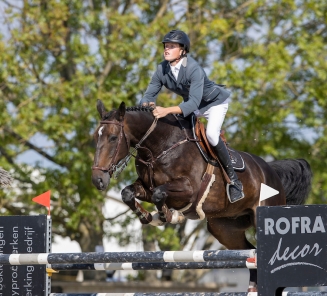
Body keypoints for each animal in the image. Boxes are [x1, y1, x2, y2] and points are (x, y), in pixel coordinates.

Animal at [91, 99, 312, 290]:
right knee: (250, 252)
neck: (160, 147)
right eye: (95, 137)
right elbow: (128, 193)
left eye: (113, 138)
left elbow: (159, 194)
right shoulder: (145, 187)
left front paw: (168, 216)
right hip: (224, 228)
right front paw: (149, 217)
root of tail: (272, 173)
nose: (97, 180)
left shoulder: (188, 190)